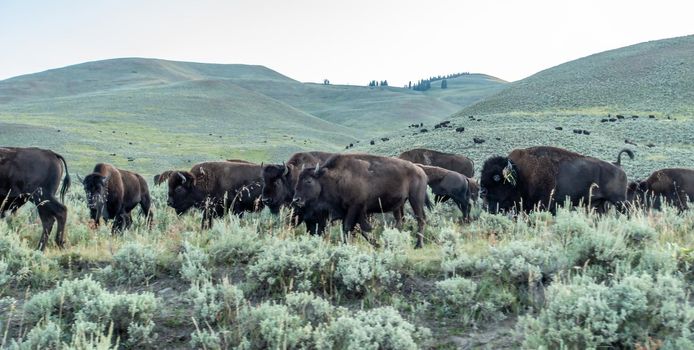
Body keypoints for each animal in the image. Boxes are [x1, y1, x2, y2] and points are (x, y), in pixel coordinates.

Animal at [294, 154, 430, 247]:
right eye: (298, 179)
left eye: (308, 180)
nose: (296, 199)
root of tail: (421, 171)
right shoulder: (349, 211)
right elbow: (357, 229)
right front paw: (375, 243)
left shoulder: (355, 207)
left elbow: (349, 227)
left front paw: (347, 245)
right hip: (399, 205)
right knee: (400, 221)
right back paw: (392, 242)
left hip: (415, 199)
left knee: (421, 219)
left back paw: (418, 245)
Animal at [482, 146, 632, 215]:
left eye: (496, 177)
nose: (482, 192)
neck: (520, 174)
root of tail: (617, 164)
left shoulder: (544, 205)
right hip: (598, 204)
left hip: (619, 201)